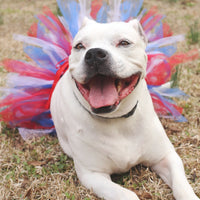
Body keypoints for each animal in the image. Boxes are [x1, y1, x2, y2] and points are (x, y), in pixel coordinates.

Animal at [50, 18, 198, 199]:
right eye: (79, 46)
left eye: (124, 43)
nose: (94, 54)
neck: (117, 118)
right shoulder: (93, 175)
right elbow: (127, 195)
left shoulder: (166, 157)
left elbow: (181, 185)